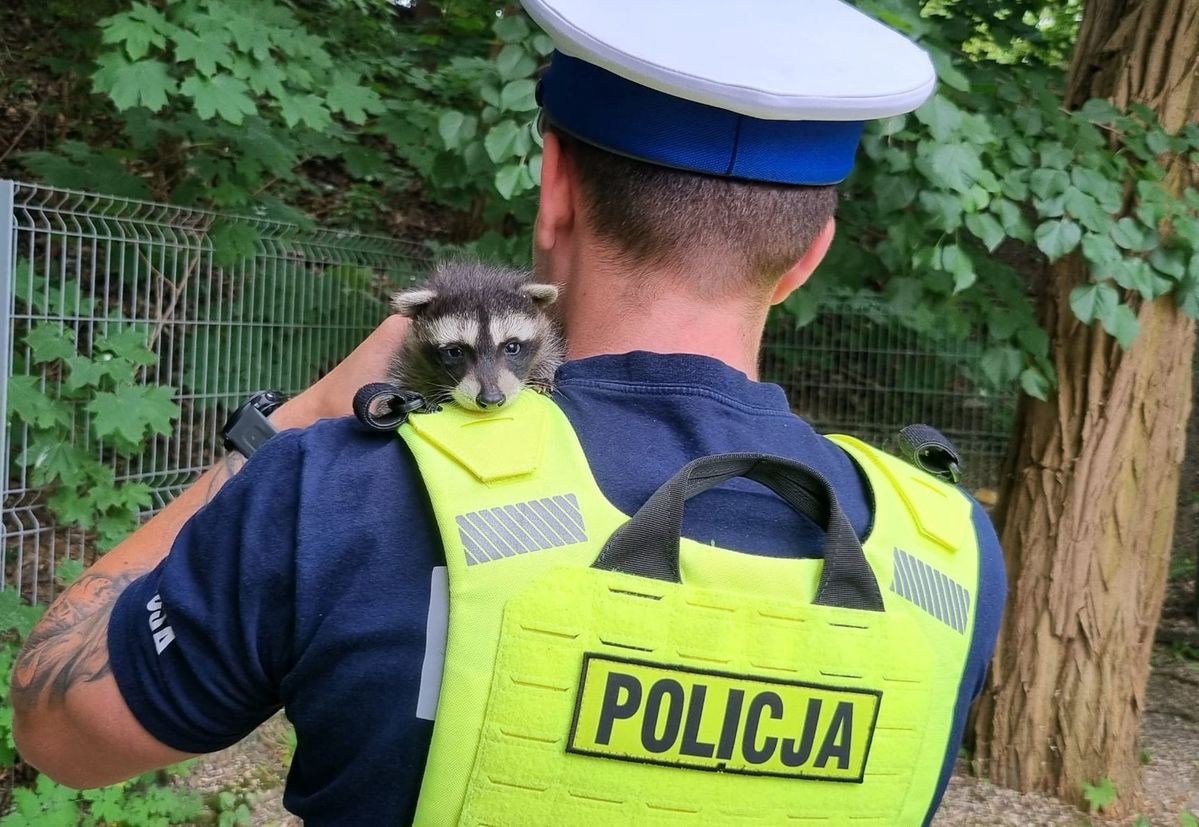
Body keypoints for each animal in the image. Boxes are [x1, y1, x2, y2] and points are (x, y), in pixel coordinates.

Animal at [388, 258, 565, 409]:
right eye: (455, 352)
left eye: (512, 347)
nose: (491, 399)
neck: (477, 281)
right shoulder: (410, 360)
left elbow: (549, 356)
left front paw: (541, 377)